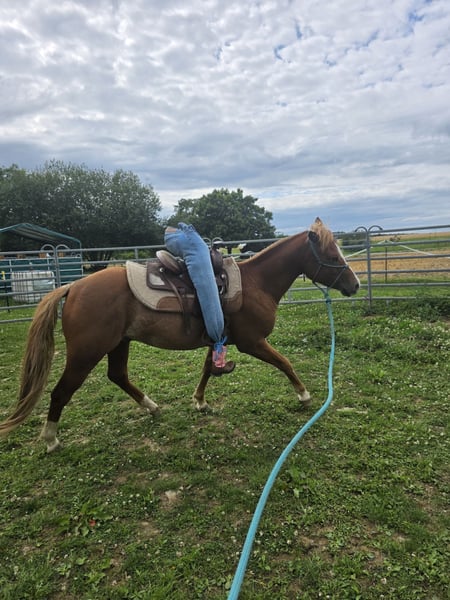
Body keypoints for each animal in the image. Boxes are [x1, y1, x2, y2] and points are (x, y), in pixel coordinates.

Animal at [0, 218, 359, 452]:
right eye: (332, 256)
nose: (355, 285)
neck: (256, 283)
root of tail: (73, 287)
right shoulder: (252, 342)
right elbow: (284, 362)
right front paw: (304, 395)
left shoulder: (220, 337)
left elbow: (207, 368)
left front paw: (199, 400)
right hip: (85, 352)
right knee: (61, 392)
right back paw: (50, 439)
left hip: (118, 343)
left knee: (117, 375)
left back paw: (151, 406)